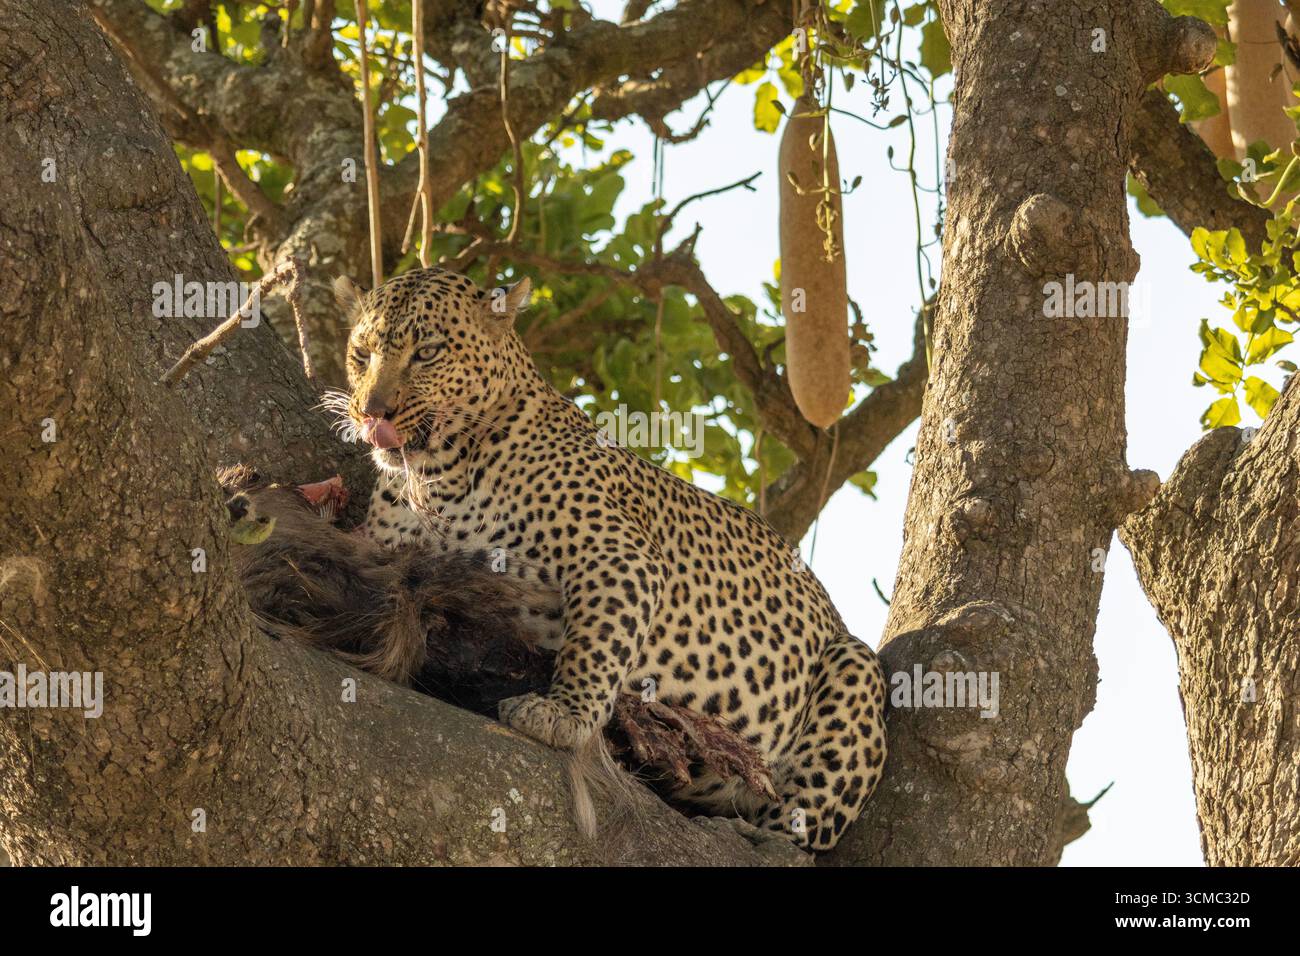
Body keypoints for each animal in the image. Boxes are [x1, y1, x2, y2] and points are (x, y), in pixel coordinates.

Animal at [335, 267, 887, 850]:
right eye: (361, 354)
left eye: (428, 352)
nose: (371, 412)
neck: (437, 474)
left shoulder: (618, 555)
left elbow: (597, 642)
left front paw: (564, 716)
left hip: (852, 668)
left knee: (807, 823)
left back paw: (756, 831)